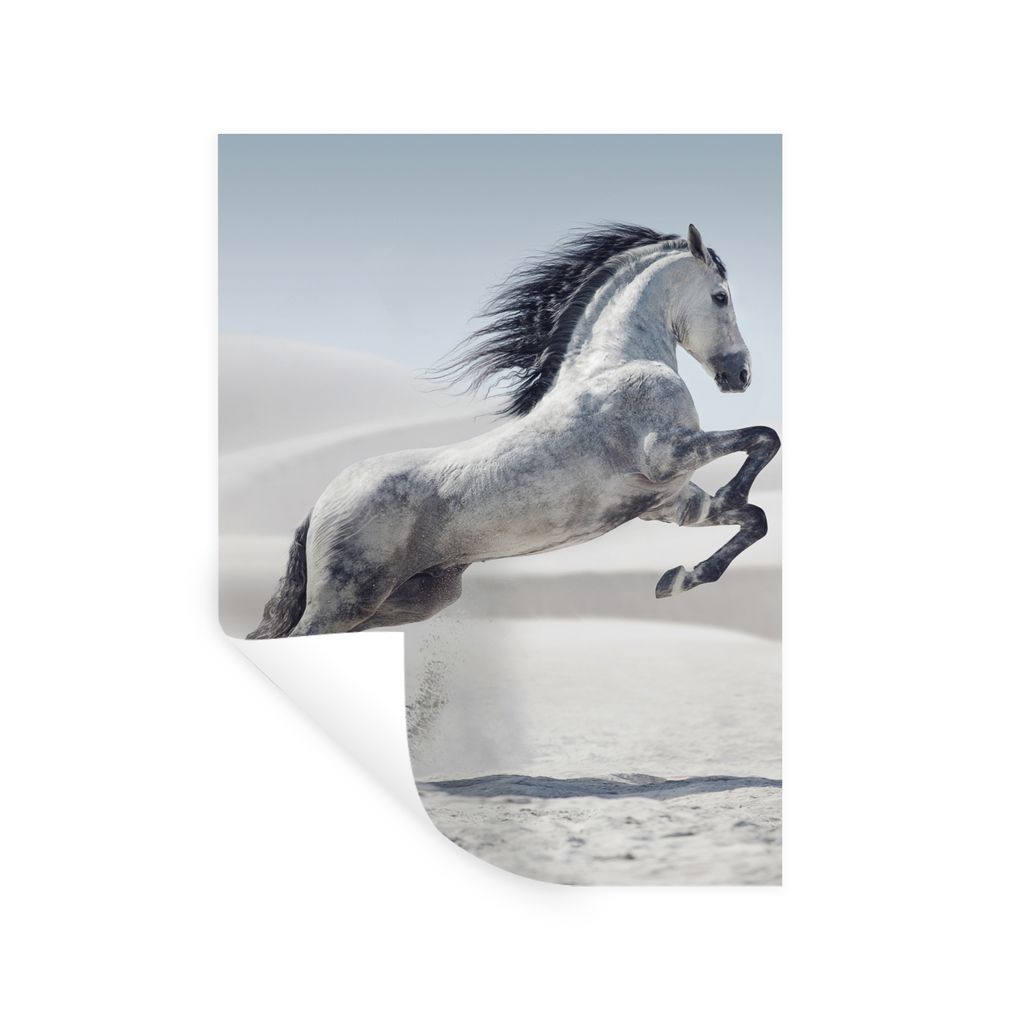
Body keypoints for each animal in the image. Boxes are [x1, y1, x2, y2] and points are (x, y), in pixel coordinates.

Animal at [248, 223, 780, 638]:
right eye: (721, 297)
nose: (740, 375)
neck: (617, 363)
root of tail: (320, 504)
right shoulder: (667, 454)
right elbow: (764, 437)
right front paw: (729, 494)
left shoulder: (670, 502)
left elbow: (754, 518)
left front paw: (677, 578)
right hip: (346, 599)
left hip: (412, 599)